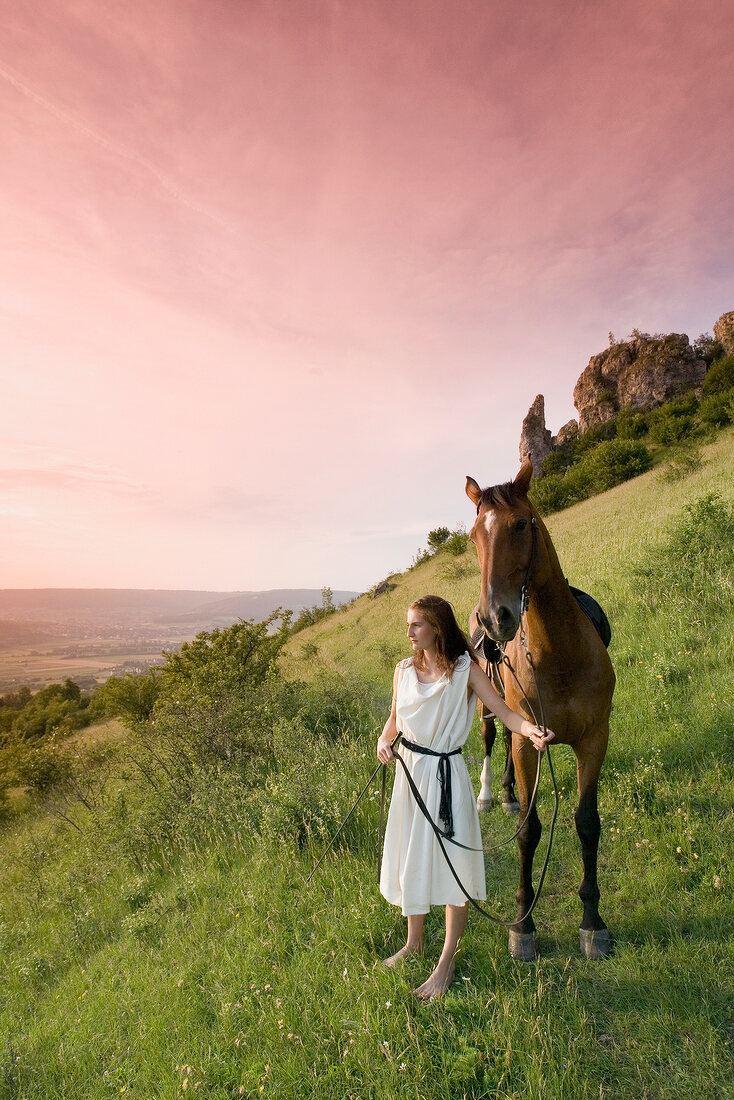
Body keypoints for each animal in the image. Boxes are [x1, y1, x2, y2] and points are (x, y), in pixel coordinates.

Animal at [468, 459, 616, 959]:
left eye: (519, 525)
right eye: (473, 536)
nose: (496, 618)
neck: (559, 655)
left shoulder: (594, 740)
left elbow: (587, 823)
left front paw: (593, 922)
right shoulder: (527, 741)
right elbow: (529, 833)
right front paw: (523, 925)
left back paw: (510, 793)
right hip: (490, 715)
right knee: (492, 744)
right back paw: (491, 794)